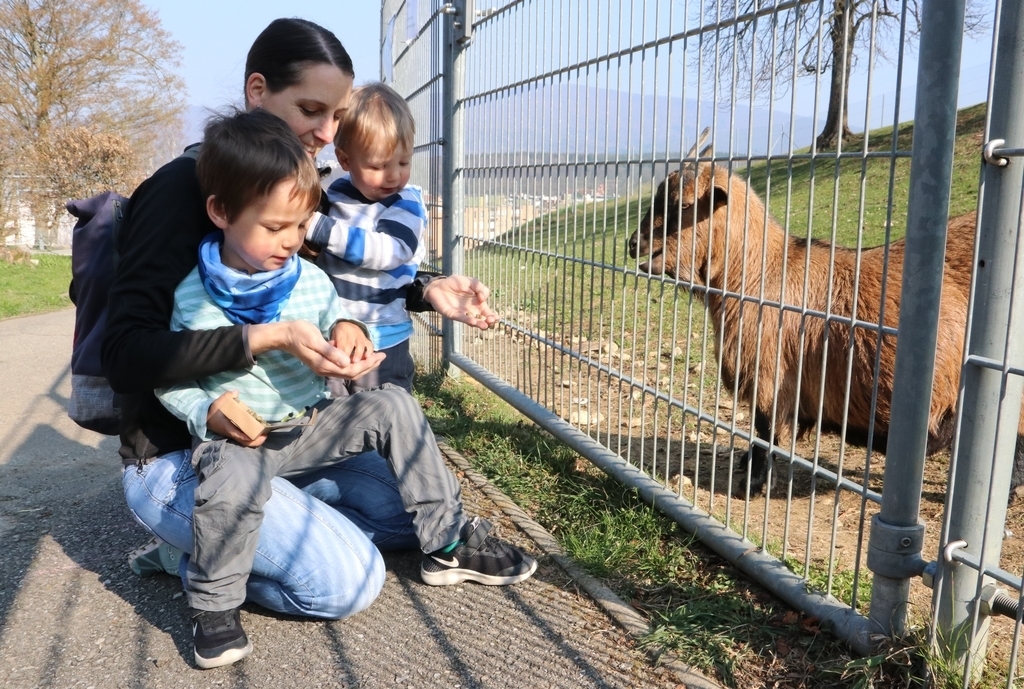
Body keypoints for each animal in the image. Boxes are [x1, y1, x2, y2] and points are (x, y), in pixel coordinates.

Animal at [622, 130, 1024, 495]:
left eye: (684, 205)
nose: (633, 245)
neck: (763, 273)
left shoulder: (769, 379)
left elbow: (766, 433)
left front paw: (754, 484)